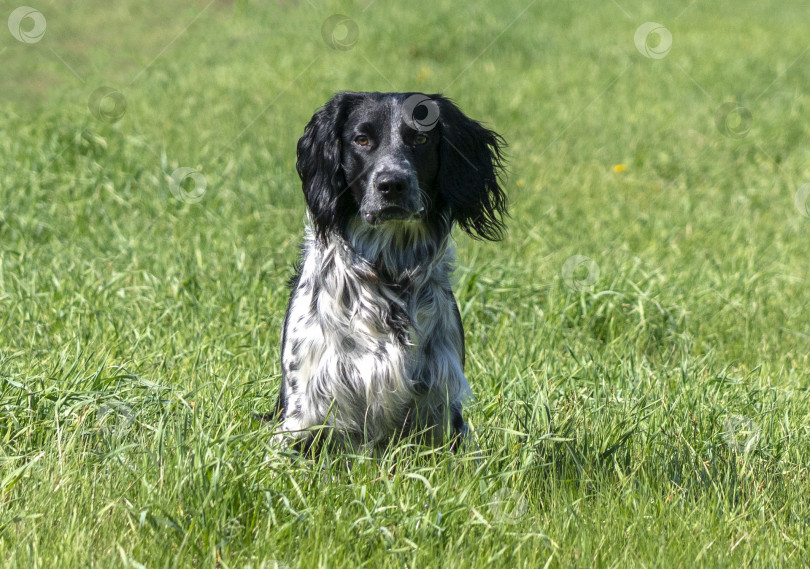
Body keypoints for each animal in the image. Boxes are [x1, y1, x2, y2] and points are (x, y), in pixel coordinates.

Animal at [276, 91, 504, 450]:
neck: (388, 270)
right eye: (362, 139)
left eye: (421, 139)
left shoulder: (442, 403)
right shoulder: (302, 412)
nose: (392, 183)